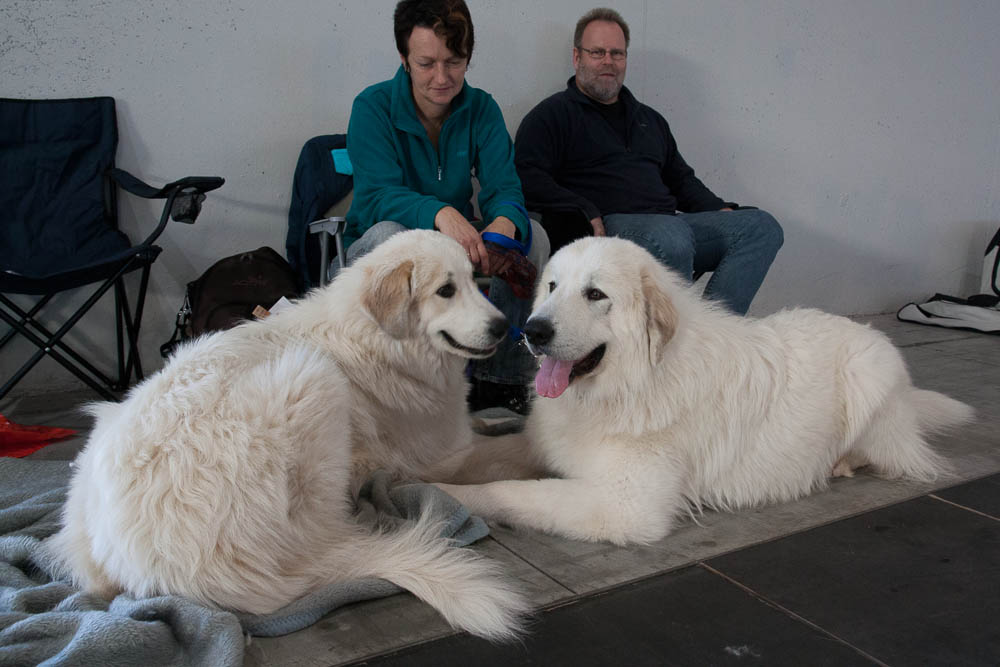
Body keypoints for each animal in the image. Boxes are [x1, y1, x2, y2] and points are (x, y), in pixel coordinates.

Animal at [45, 230, 532, 640]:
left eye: (474, 280)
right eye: (446, 291)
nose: (505, 328)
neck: (380, 340)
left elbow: (494, 426)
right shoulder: (441, 457)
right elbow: (505, 449)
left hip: (100, 436)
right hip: (313, 377)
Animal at [440, 240, 976, 548]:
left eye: (595, 294)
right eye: (552, 287)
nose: (532, 329)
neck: (632, 383)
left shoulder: (626, 506)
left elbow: (511, 491)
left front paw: (448, 499)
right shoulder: (542, 445)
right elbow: (483, 457)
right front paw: (426, 476)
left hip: (869, 376)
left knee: (889, 452)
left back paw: (841, 462)